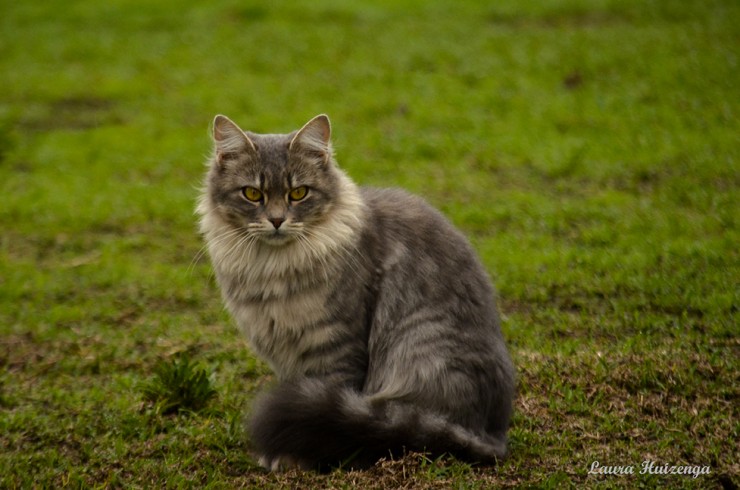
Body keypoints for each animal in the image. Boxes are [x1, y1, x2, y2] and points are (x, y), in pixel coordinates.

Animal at [197, 114, 516, 470]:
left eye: (298, 193)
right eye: (252, 194)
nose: (277, 220)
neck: (272, 268)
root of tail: (494, 434)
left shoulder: (336, 345)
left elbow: (324, 405)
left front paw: (296, 456)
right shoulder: (285, 354)